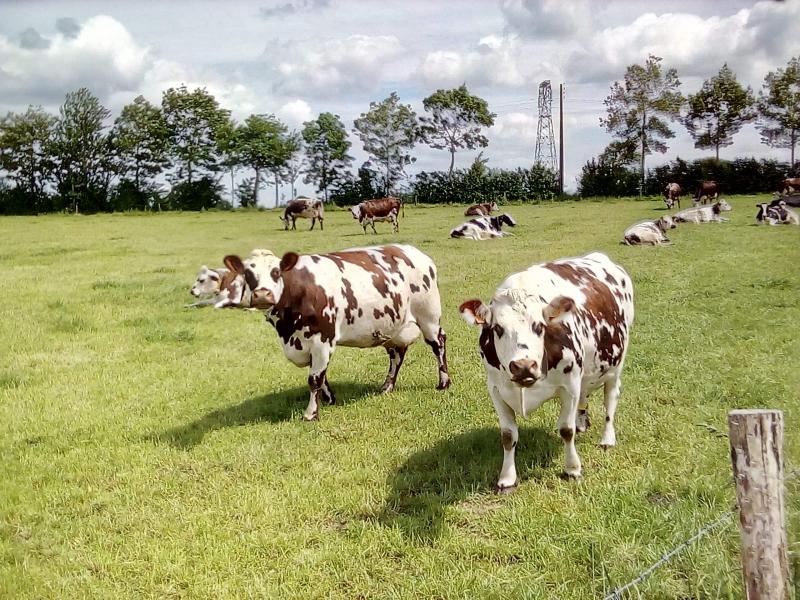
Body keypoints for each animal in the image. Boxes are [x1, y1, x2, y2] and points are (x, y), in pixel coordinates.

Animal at [224, 244, 451, 421]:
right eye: (247, 274)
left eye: (276, 272)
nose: (262, 294)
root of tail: (413, 251)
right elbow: (321, 375)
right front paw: (328, 399)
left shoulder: (322, 339)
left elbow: (314, 379)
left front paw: (311, 413)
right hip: (394, 327)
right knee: (397, 354)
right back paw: (387, 387)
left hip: (429, 316)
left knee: (438, 344)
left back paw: (444, 382)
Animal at [459, 252, 634, 490]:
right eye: (497, 328)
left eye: (540, 326)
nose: (523, 366)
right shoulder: (496, 389)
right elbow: (508, 436)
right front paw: (507, 478)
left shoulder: (569, 386)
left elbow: (566, 430)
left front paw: (572, 469)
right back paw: (582, 422)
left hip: (615, 368)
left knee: (610, 402)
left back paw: (607, 439)